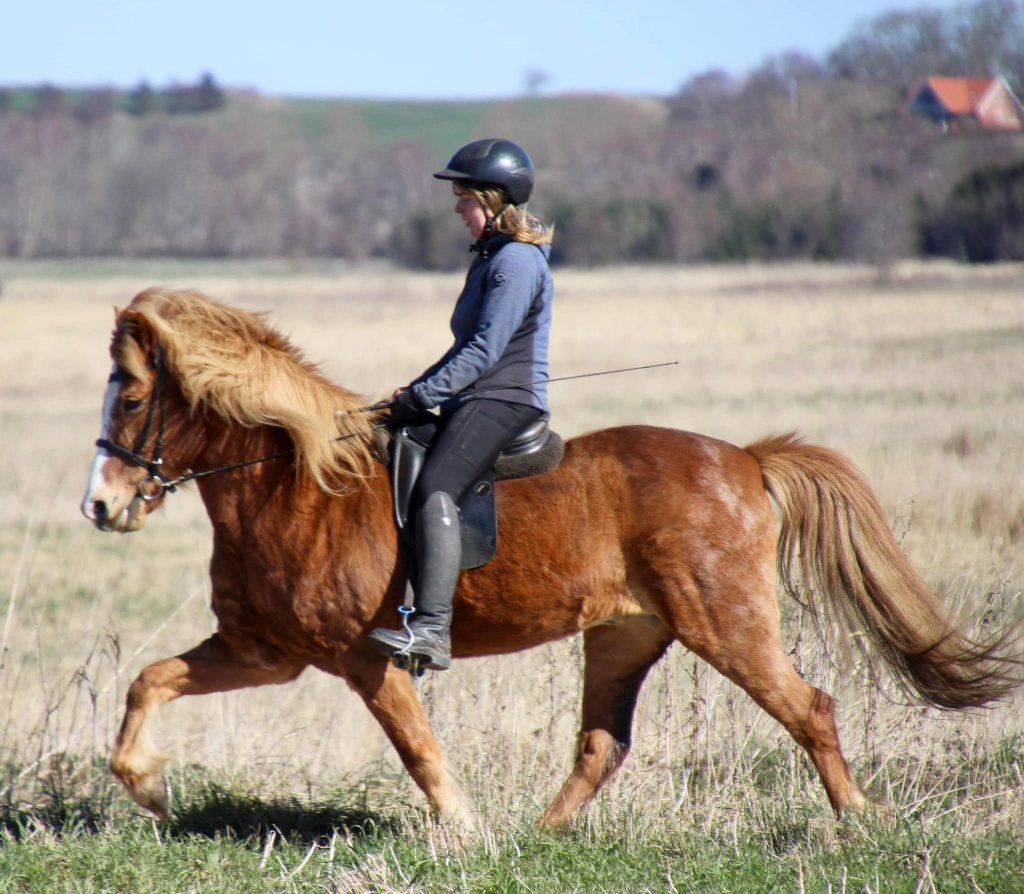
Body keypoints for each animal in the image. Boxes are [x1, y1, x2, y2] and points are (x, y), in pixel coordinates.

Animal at [77, 288, 1015, 827]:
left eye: (133, 397)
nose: (101, 507)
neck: (295, 482)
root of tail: (746, 461)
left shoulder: (364, 658)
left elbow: (418, 750)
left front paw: (463, 834)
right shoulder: (265, 652)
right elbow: (149, 682)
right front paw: (148, 787)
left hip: (729, 625)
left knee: (809, 708)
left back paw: (858, 820)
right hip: (625, 634)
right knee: (602, 744)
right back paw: (542, 834)